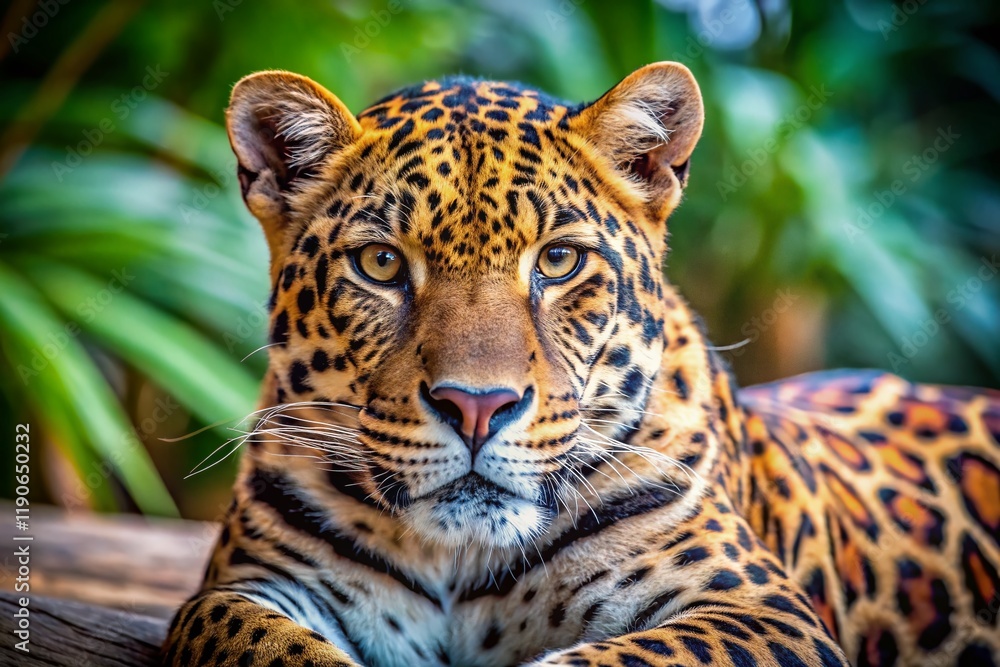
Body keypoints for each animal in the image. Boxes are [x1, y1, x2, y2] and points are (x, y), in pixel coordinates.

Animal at [162, 62, 1000, 667]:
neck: (460, 557)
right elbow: (257, 639)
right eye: (381, 263)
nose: (476, 406)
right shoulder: (243, 587)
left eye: (559, 260)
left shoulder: (757, 608)